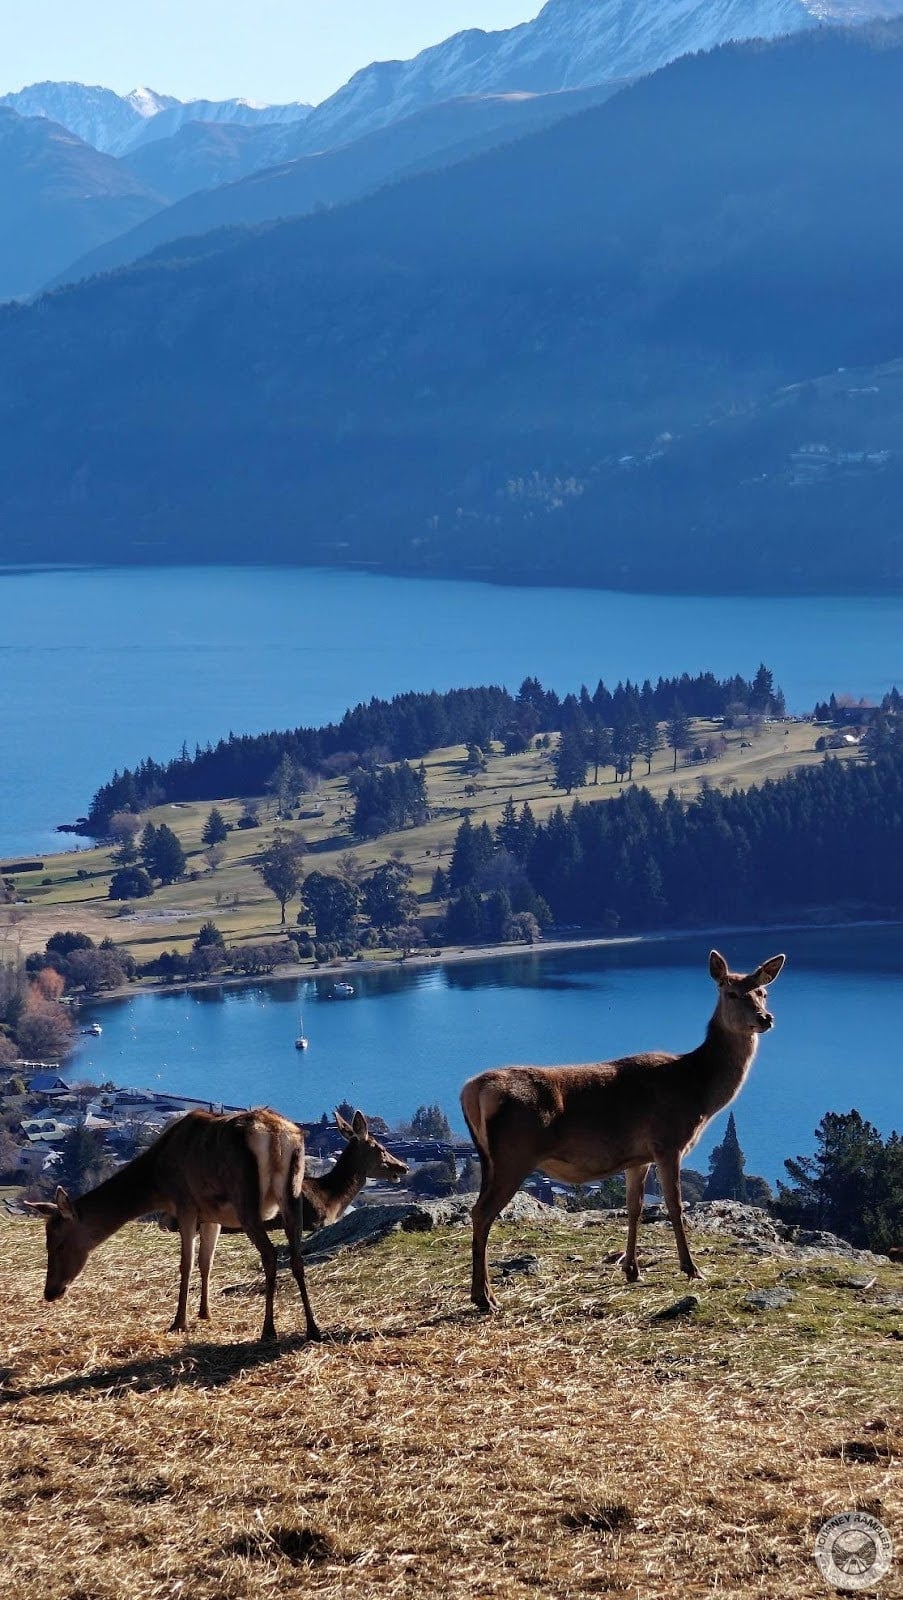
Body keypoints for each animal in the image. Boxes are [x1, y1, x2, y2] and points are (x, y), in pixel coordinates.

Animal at [27, 1106, 406, 1342]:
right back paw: (313, 1328)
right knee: (295, 1257)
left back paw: (268, 1329)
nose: (50, 1292)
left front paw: (178, 1321)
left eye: (57, 1241)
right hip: (290, 1199)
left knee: (271, 1255)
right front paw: (205, 1313)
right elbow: (205, 1262)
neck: (156, 1182)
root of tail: (276, 1136)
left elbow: (185, 1264)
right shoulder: (212, 1216)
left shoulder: (185, 1204)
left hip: (247, 1199)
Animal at [460, 949, 785, 1311]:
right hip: (514, 1155)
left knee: (479, 1209)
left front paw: (631, 1269)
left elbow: (635, 1208)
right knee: (481, 1212)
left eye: (763, 992)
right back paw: (485, 1296)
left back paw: (482, 1293)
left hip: (489, 1159)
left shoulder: (637, 1158)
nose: (765, 1018)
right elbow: (675, 1205)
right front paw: (691, 1268)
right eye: (730, 993)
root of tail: (473, 1090)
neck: (698, 1091)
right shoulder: (668, 1142)